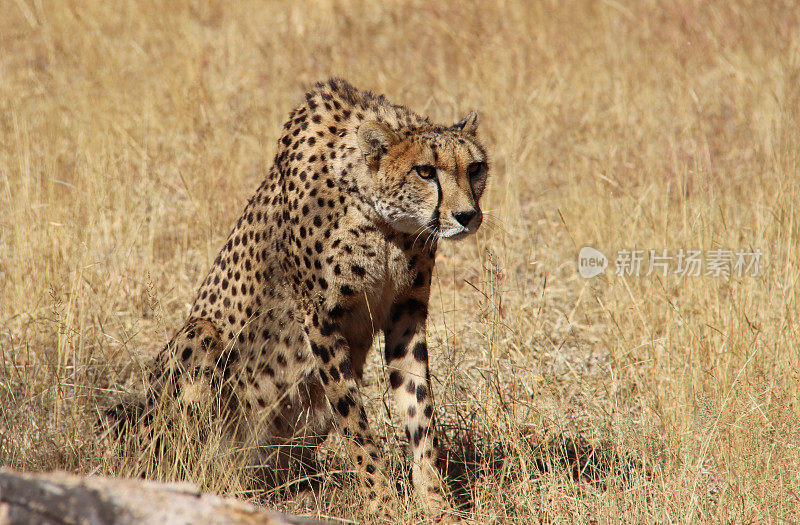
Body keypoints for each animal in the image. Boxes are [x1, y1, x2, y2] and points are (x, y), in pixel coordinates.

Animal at [106, 78, 488, 516]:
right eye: (425, 171)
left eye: (474, 168)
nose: (467, 216)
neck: (383, 220)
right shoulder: (320, 317)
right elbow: (354, 419)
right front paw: (381, 502)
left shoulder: (406, 311)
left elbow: (418, 406)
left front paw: (434, 501)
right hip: (197, 343)